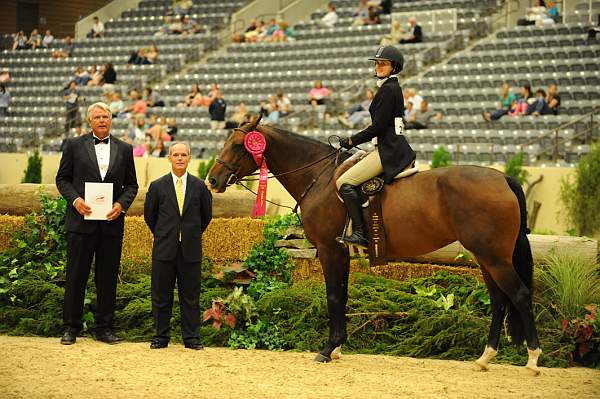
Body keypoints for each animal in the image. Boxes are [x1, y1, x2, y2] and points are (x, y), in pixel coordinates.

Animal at [206, 119, 544, 376]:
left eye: (238, 145)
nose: (212, 180)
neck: (320, 178)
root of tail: (503, 177)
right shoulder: (339, 253)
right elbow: (341, 296)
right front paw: (338, 348)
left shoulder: (329, 250)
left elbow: (333, 296)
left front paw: (328, 349)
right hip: (486, 257)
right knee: (499, 301)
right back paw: (485, 358)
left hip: (495, 258)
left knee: (519, 296)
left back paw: (532, 360)